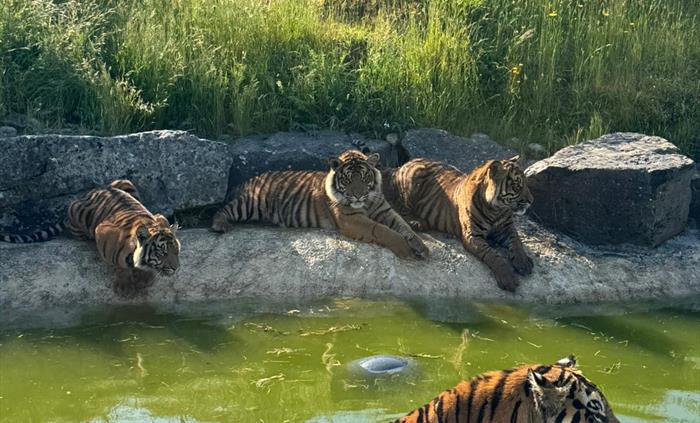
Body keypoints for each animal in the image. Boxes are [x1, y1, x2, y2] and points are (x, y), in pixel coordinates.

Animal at [1, 179, 181, 295]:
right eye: (162, 253)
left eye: (176, 251)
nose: (176, 268)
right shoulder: (103, 231)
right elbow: (118, 263)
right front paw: (124, 286)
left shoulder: (160, 218)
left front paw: (145, 278)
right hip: (79, 216)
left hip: (124, 181)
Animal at [211, 150, 429, 259]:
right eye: (348, 179)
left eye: (364, 177)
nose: (358, 195)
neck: (365, 203)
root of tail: (249, 180)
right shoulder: (352, 219)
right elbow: (382, 230)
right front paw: (404, 249)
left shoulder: (385, 210)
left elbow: (404, 227)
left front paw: (422, 247)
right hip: (249, 203)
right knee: (223, 209)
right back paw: (220, 225)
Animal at [382, 156, 533, 291]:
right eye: (517, 185)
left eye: (526, 183)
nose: (531, 201)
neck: (496, 209)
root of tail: (402, 166)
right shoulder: (472, 236)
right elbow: (493, 256)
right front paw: (508, 277)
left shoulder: (507, 228)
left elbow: (517, 242)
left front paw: (523, 262)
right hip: (411, 181)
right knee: (398, 206)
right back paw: (417, 222)